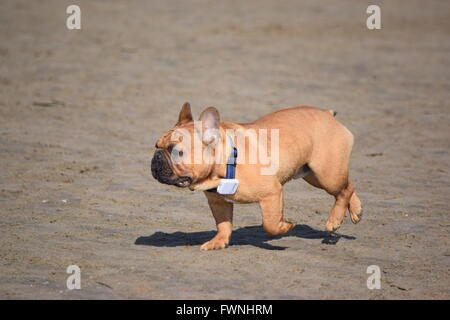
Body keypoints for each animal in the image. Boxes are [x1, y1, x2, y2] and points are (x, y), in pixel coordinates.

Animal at [151, 102, 362, 250]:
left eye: (176, 151)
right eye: (156, 146)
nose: (156, 157)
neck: (227, 162)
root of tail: (327, 114)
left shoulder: (272, 193)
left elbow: (270, 224)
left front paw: (286, 226)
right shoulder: (218, 202)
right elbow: (223, 224)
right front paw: (218, 242)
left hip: (326, 173)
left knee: (343, 191)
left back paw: (334, 220)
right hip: (313, 174)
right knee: (348, 187)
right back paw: (356, 211)